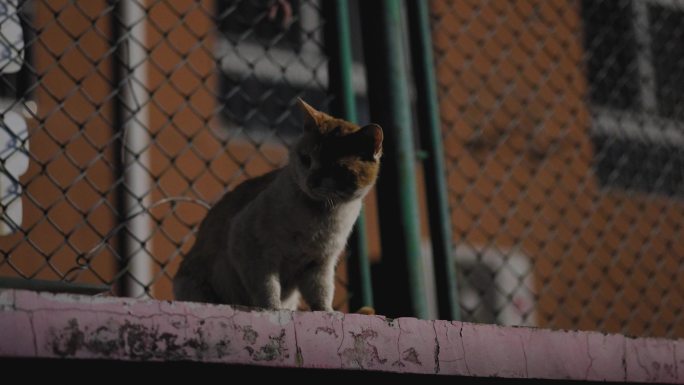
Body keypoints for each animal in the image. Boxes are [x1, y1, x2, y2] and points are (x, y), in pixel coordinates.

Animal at [172, 97, 384, 310]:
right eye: (306, 159)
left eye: (336, 169)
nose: (311, 182)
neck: (318, 219)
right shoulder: (251, 245)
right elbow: (267, 287)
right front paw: (273, 308)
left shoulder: (319, 263)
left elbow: (321, 292)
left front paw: (326, 311)